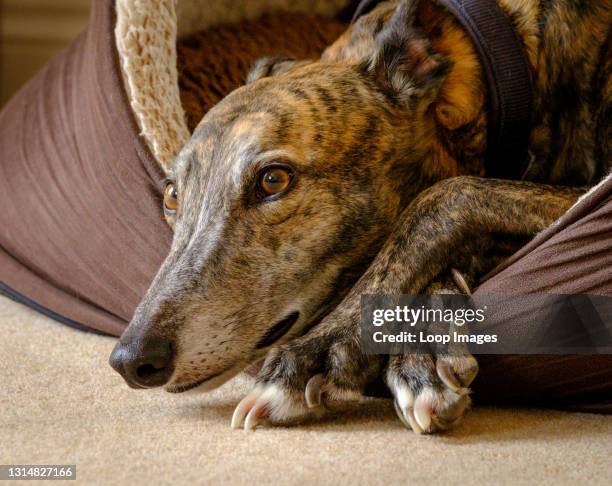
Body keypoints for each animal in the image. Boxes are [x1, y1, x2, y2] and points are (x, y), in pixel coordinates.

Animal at [111, 0, 612, 432]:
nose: (132, 360)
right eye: (171, 194)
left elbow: (444, 196)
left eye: (274, 180)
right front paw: (422, 351)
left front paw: (318, 354)